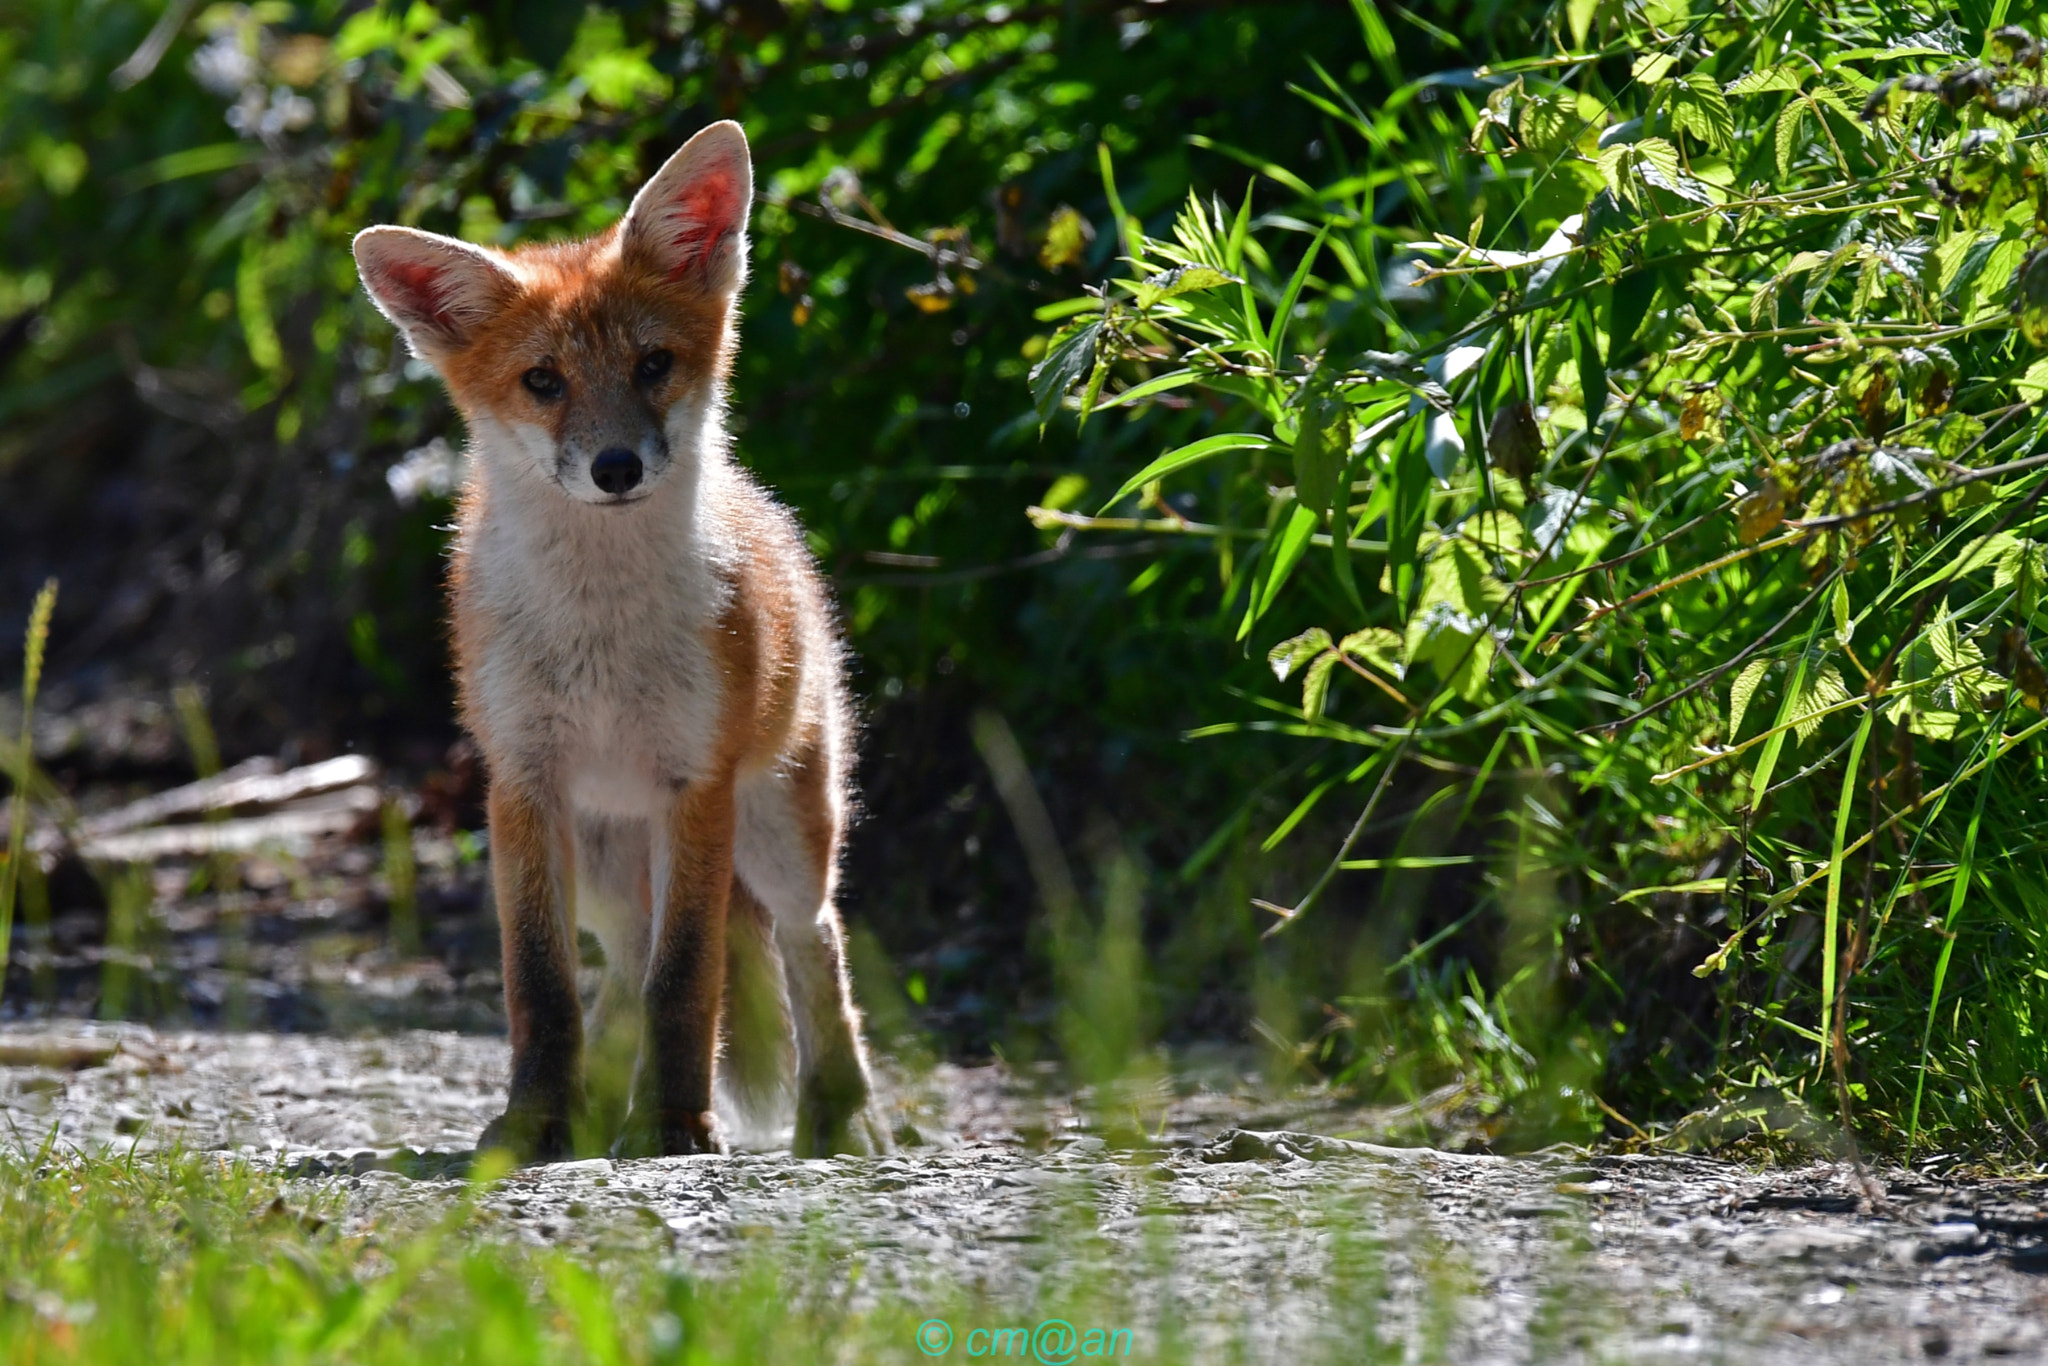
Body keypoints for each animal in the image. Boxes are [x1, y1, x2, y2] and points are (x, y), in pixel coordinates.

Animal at [351, 121, 883, 1162]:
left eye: (651, 366)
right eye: (543, 382)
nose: (616, 467)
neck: (599, 632)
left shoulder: (696, 784)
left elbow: (687, 982)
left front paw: (675, 1124)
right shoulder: (523, 783)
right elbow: (544, 988)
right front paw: (537, 1122)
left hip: (780, 832)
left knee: (812, 943)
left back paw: (837, 1116)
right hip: (602, 865)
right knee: (624, 970)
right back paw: (597, 1106)